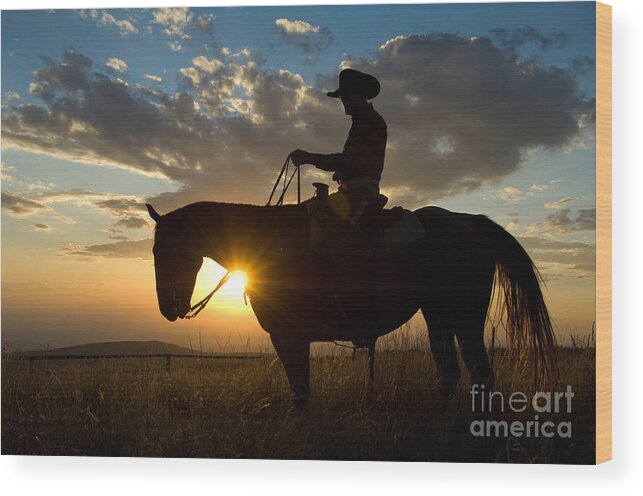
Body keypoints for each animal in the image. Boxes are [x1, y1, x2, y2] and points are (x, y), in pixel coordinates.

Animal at [147, 200, 560, 408]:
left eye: (162, 250)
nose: (168, 309)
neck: (269, 244)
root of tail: (470, 221)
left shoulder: (288, 336)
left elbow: (301, 392)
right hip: (437, 315)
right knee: (450, 372)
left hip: (465, 317)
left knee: (480, 374)